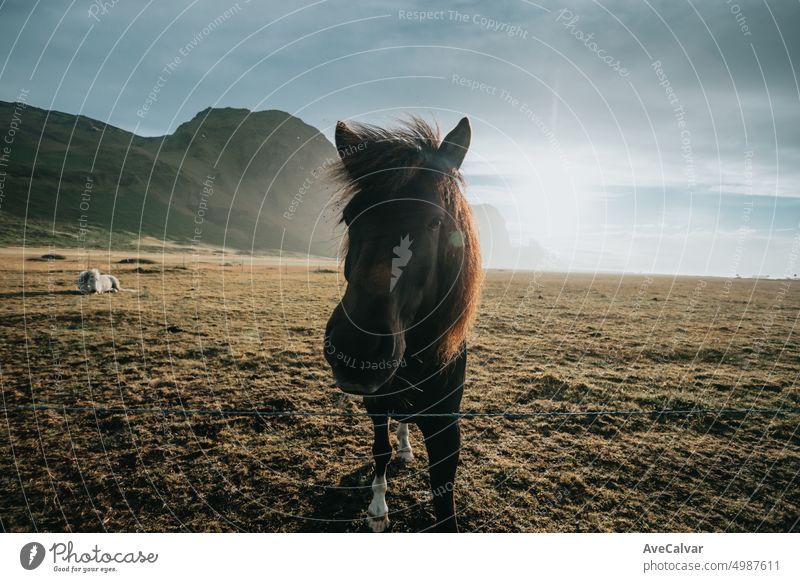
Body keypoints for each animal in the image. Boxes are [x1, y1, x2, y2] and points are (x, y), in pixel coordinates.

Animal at [324, 117, 482, 532]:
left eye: (435, 221)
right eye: (350, 217)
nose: (356, 350)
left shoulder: (447, 427)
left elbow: (445, 500)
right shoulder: (375, 404)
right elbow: (380, 452)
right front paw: (378, 509)